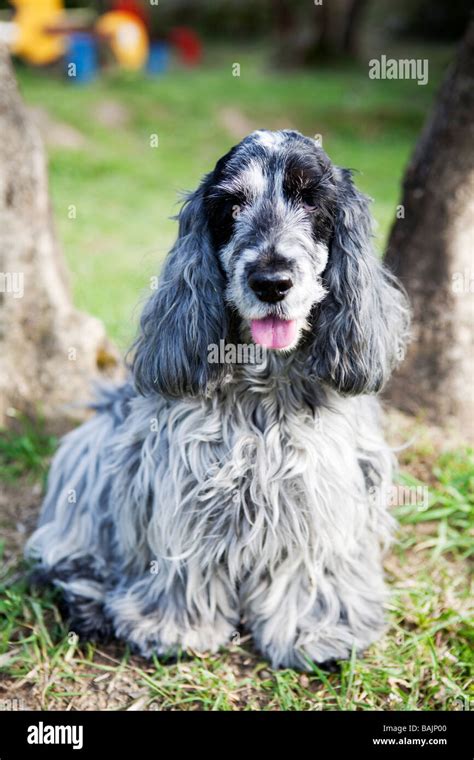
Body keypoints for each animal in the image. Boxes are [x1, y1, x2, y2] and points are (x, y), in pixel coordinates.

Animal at [26, 131, 412, 672]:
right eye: (231, 206)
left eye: (311, 200)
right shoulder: (185, 473)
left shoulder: (318, 479)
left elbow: (309, 561)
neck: (265, 385)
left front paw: (315, 630)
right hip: (96, 442)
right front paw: (175, 628)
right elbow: (184, 554)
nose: (271, 281)